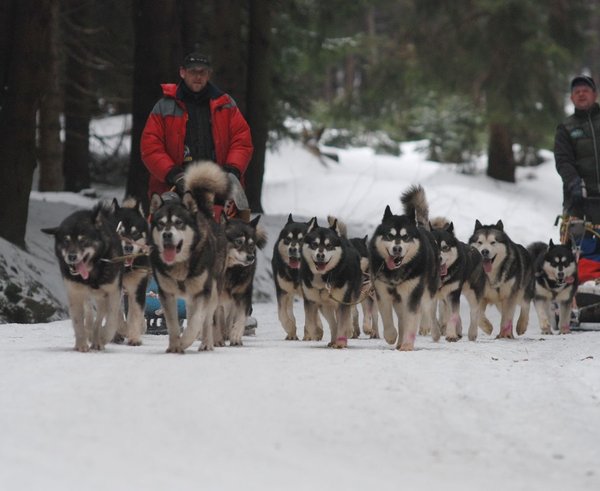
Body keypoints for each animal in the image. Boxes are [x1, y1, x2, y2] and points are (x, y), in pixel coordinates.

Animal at [42, 202, 123, 352]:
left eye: (83, 240)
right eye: (66, 241)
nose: (71, 256)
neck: (92, 274)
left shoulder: (113, 292)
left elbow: (111, 321)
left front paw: (102, 337)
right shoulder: (75, 293)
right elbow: (78, 321)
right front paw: (81, 343)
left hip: (102, 297)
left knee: (100, 317)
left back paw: (97, 339)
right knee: (90, 315)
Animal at [149, 161, 229, 354]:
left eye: (179, 222)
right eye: (160, 224)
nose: (167, 235)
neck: (180, 263)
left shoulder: (203, 292)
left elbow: (196, 322)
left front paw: (185, 342)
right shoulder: (166, 293)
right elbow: (172, 323)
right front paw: (174, 345)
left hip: (213, 291)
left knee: (207, 319)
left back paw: (206, 343)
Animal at [368, 184, 438, 350]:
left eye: (405, 237)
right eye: (390, 235)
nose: (397, 249)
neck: (396, 273)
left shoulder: (413, 294)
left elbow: (412, 320)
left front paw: (407, 345)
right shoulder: (383, 293)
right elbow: (387, 319)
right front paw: (391, 336)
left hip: (427, 290)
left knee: (428, 308)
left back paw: (425, 326)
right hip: (400, 302)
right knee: (401, 319)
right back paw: (399, 341)